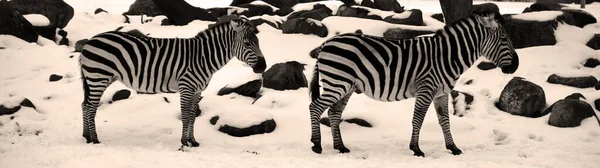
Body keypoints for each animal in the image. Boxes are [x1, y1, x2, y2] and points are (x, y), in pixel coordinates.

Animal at [79, 17, 268, 148]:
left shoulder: (197, 90)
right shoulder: (186, 87)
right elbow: (185, 115)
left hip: (101, 78)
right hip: (98, 76)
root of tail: (90, 41)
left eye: (258, 42)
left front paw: (193, 141)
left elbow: (192, 116)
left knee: (85, 105)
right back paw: (95, 139)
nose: (263, 66)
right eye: (247, 43)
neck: (203, 57)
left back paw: (86, 137)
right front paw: (184, 142)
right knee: (91, 107)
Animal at [308, 12, 516, 157]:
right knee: (315, 107)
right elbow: (418, 119)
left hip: (346, 86)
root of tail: (326, 43)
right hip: (337, 82)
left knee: (334, 113)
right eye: (504, 39)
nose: (516, 65)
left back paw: (340, 147)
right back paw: (317, 145)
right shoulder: (426, 89)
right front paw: (416, 149)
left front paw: (453, 147)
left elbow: (445, 121)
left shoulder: (441, 93)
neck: (446, 56)